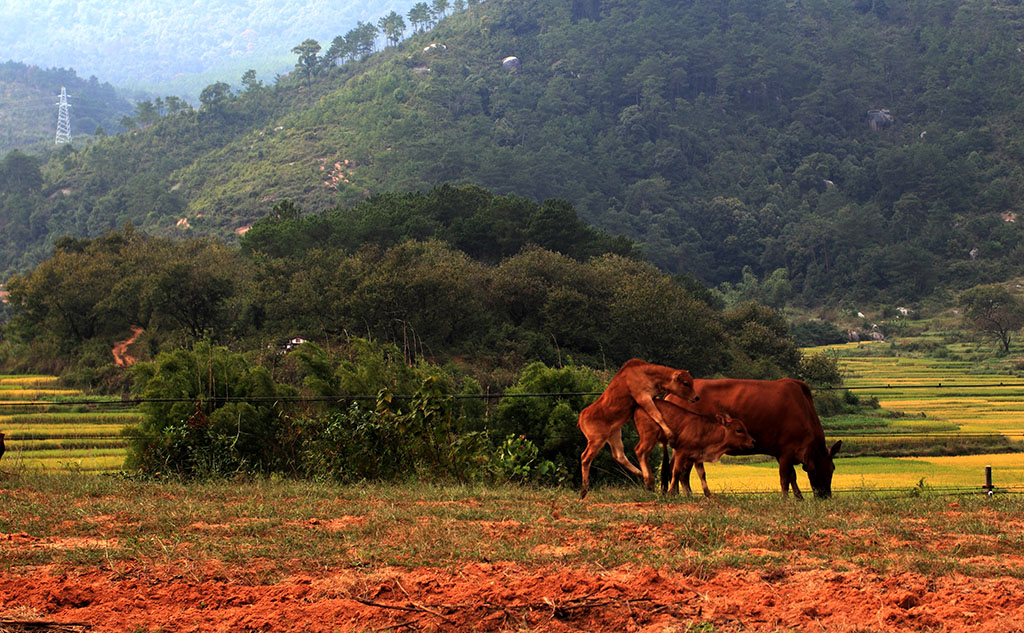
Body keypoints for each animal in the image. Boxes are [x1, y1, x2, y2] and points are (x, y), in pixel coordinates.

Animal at [577, 360, 704, 497]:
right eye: (685, 383)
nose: (696, 397)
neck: (647, 373)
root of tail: (581, 418)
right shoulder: (644, 397)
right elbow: (657, 415)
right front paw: (669, 432)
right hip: (596, 440)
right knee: (585, 458)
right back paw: (584, 489)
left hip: (614, 434)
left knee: (619, 455)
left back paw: (640, 473)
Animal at [663, 376, 839, 495]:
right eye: (827, 468)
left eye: (833, 468)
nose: (825, 496)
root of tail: (670, 395)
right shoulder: (786, 450)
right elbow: (785, 478)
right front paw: (787, 498)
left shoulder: (781, 452)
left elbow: (792, 476)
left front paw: (799, 497)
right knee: (682, 471)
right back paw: (687, 495)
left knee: (675, 468)